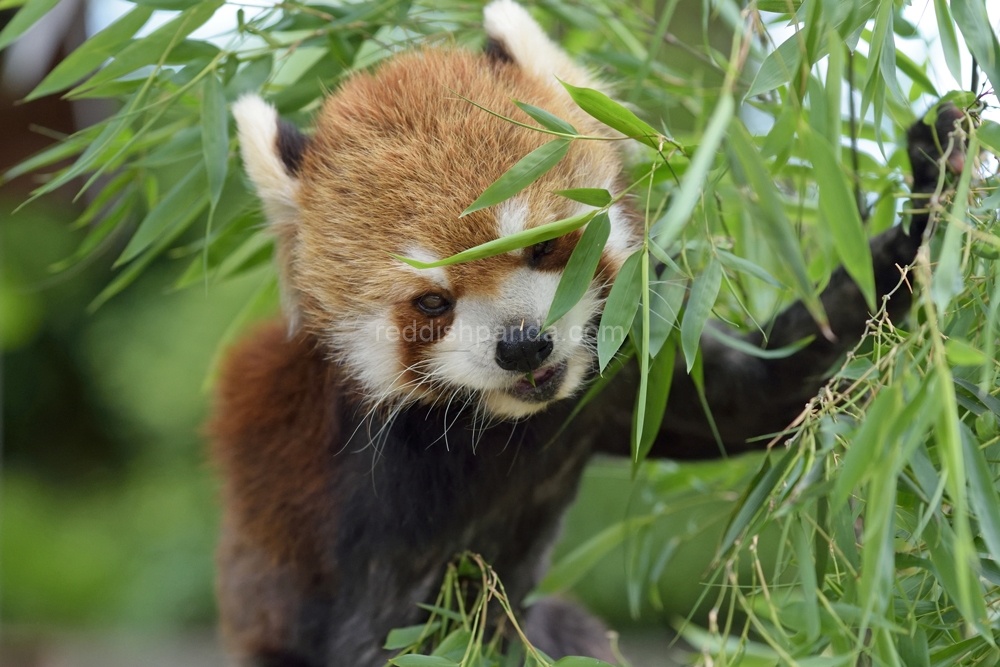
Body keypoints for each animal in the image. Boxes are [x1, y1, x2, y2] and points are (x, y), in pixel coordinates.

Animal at [211, 2, 968, 664]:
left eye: (545, 247)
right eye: (432, 301)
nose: (523, 345)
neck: (511, 427)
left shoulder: (626, 369)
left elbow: (759, 399)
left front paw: (929, 193)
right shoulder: (371, 498)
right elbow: (385, 639)